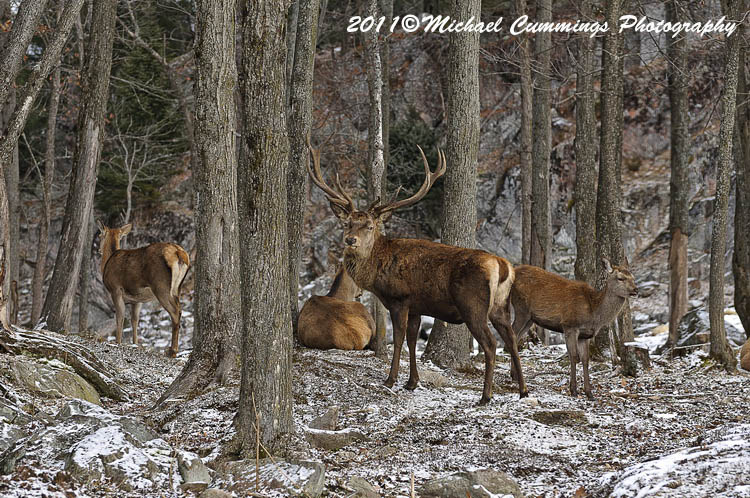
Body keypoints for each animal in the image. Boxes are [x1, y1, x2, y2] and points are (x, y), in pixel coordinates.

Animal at [97, 222, 190, 357]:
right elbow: (135, 320)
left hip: (161, 286)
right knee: (180, 309)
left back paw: (172, 351)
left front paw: (117, 342)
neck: (107, 262)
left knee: (175, 312)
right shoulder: (137, 299)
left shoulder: (115, 289)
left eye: (100, 235)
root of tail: (179, 253)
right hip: (178, 287)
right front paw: (135, 343)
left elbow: (119, 317)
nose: (99, 250)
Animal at [307, 139, 527, 405]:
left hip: (473, 304)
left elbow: (399, 340)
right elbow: (412, 341)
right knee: (512, 339)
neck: (378, 270)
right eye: (347, 223)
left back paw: (486, 396)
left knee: (492, 343)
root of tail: (502, 266)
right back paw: (523, 390)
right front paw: (412, 382)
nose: (350, 240)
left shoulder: (399, 299)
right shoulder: (416, 306)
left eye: (369, 226)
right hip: (500, 306)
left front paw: (390, 380)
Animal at [510, 258, 638, 400]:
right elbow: (574, 356)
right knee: (512, 333)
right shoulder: (570, 326)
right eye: (620, 278)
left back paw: (514, 375)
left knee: (516, 337)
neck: (593, 313)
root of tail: (513, 270)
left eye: (633, 277)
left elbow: (585, 359)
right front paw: (574, 390)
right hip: (521, 308)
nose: (636, 290)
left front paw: (589, 393)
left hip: (530, 318)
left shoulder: (585, 335)